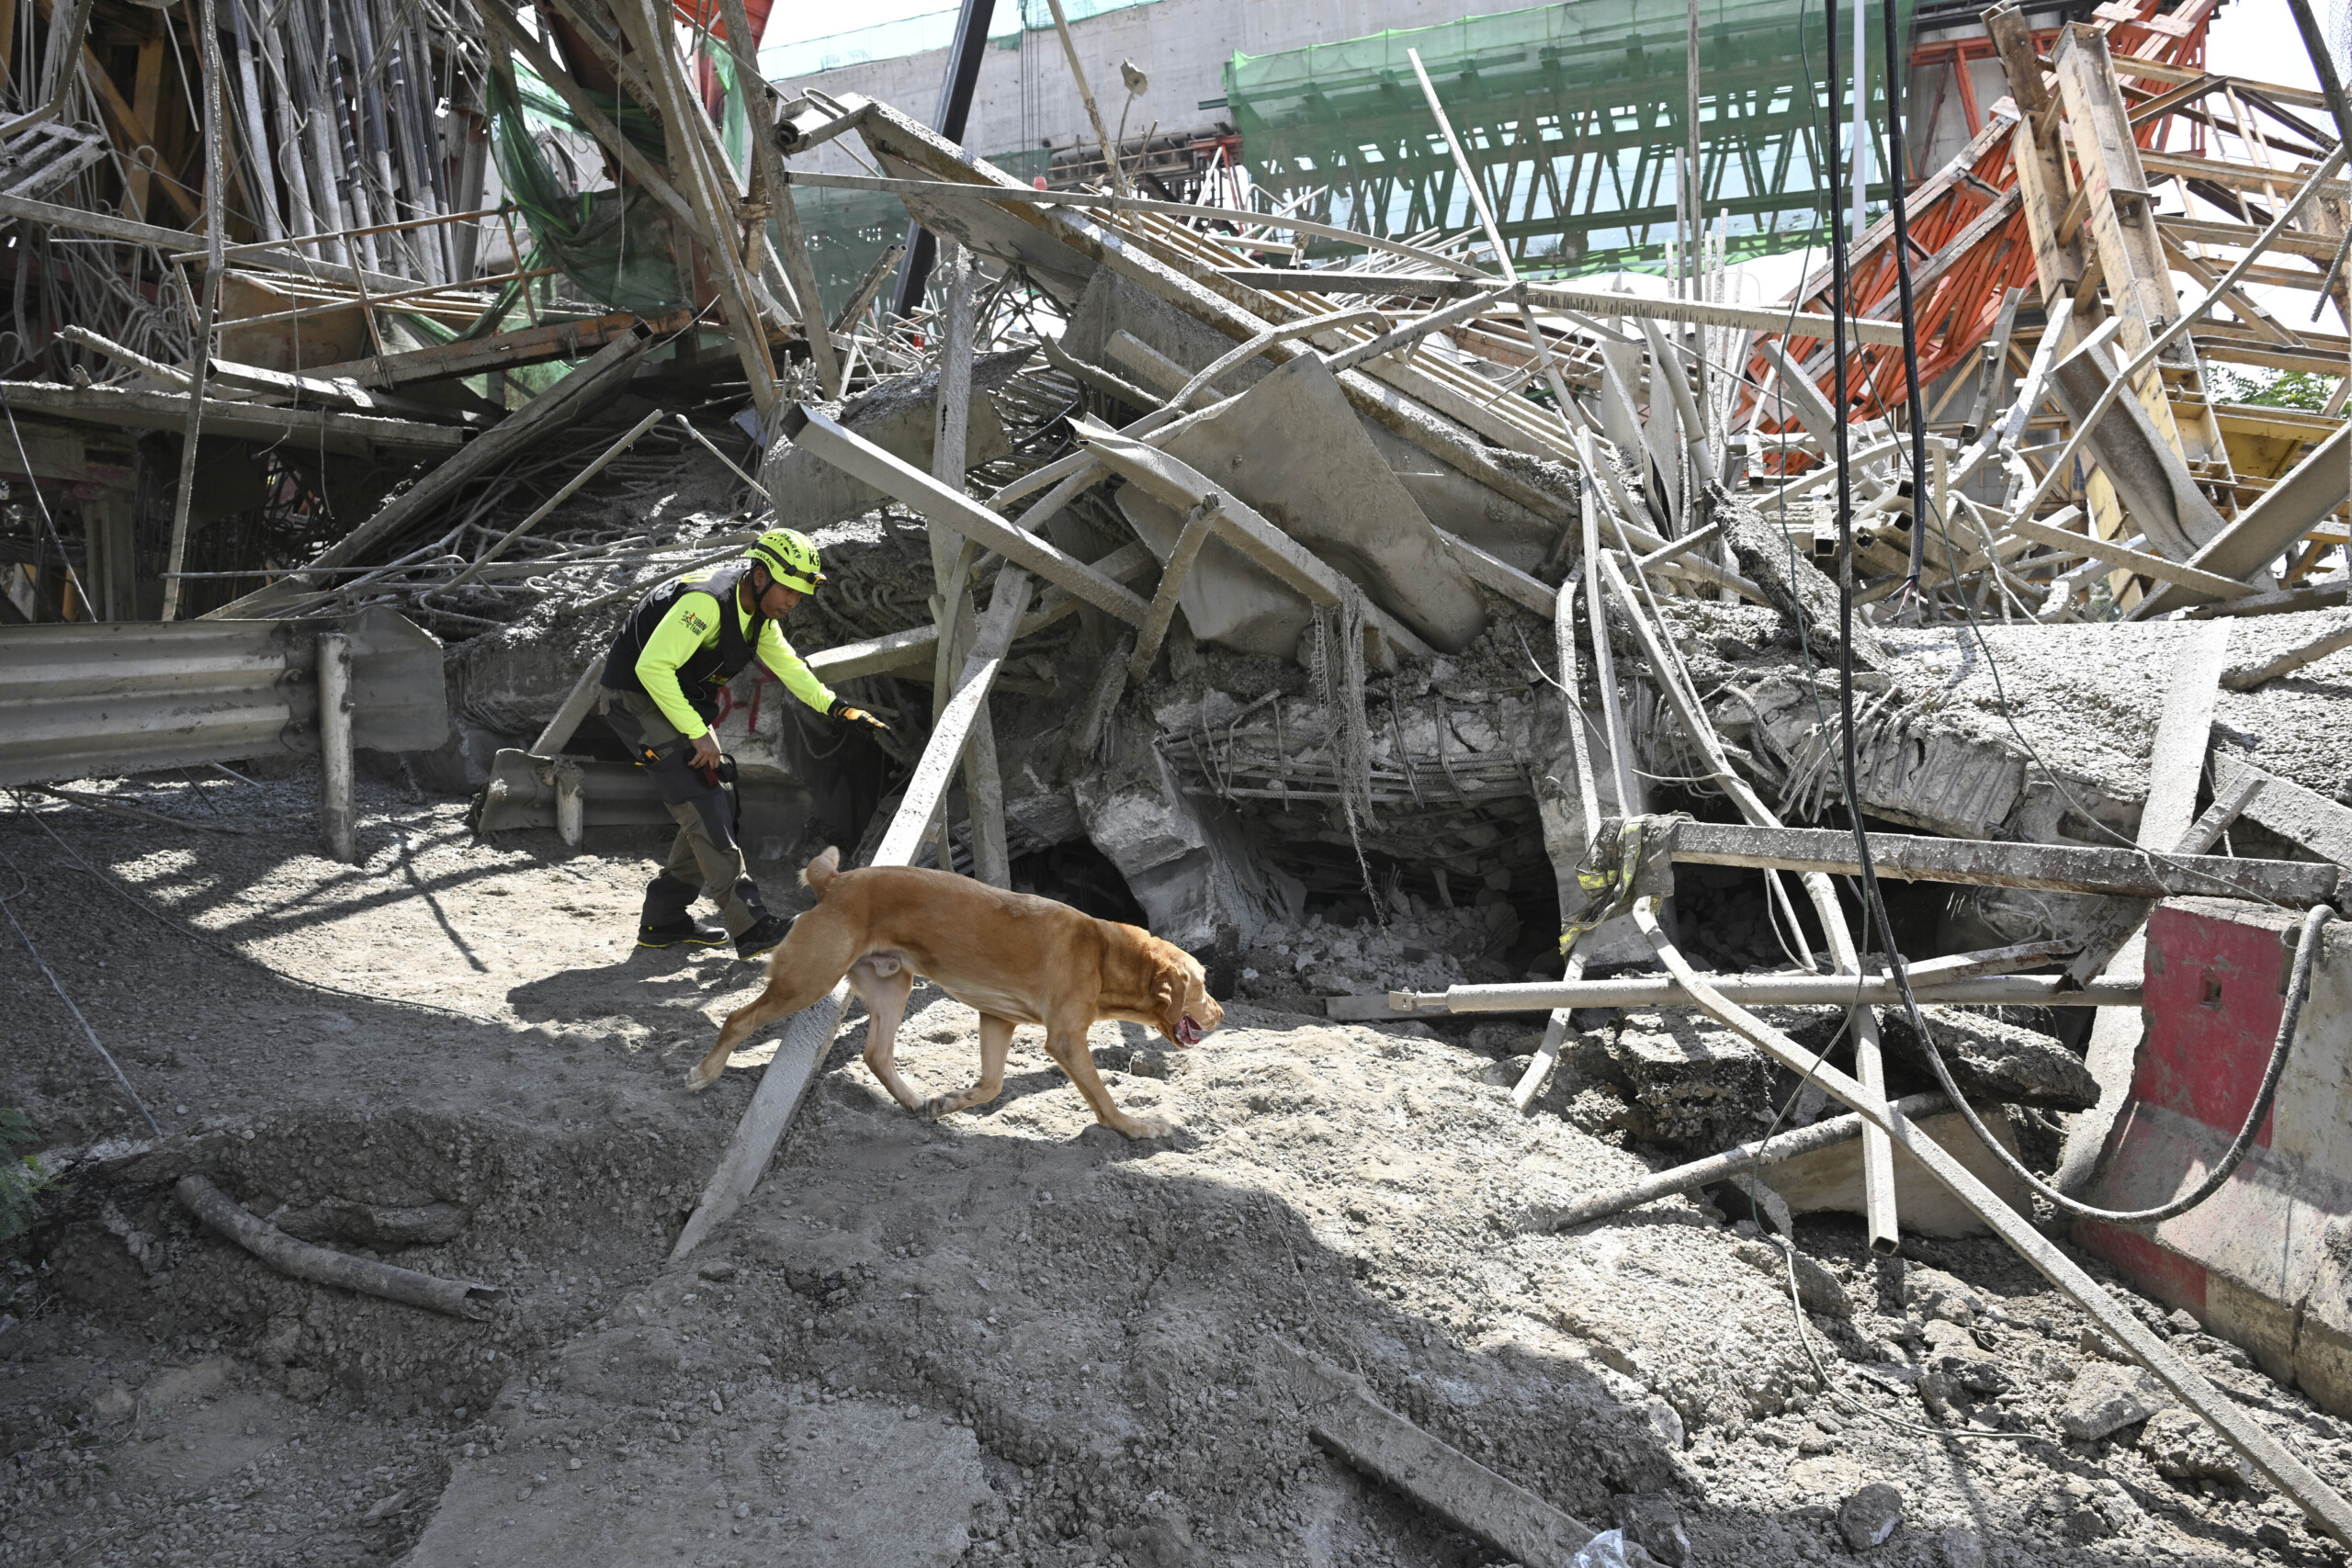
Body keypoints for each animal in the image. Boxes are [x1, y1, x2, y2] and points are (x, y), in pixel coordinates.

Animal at [686, 846, 1223, 1142]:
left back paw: (914, 1102)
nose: (1221, 1013)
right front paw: (1135, 1127)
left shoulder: (998, 1019)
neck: (1105, 952)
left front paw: (947, 1103)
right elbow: (1102, 1098)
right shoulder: (1066, 1041)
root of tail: (834, 882)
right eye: (1203, 983)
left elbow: (991, 1086)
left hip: (890, 986)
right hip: (807, 980)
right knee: (737, 1019)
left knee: (876, 1054)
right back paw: (704, 1073)